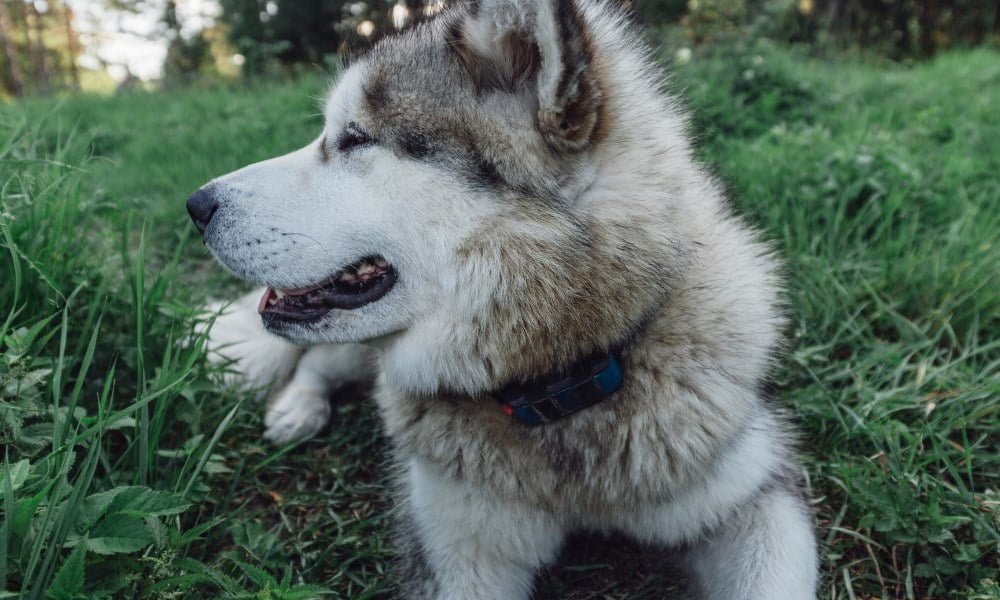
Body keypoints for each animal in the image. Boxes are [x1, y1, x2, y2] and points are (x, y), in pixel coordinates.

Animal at [186, 0, 812, 596]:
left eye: (356, 137)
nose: (196, 205)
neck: (559, 384)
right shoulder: (458, 549)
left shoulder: (757, 497)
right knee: (317, 361)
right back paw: (297, 408)